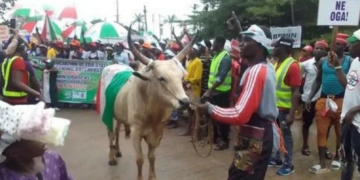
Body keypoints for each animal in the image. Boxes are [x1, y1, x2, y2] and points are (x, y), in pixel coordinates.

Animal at [98, 24, 198, 180]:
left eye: (181, 77)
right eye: (161, 78)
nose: (185, 102)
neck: (152, 111)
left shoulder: (157, 132)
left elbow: (151, 157)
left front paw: (153, 177)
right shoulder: (135, 132)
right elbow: (140, 159)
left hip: (119, 114)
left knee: (117, 131)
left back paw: (118, 151)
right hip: (106, 112)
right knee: (111, 134)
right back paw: (112, 157)